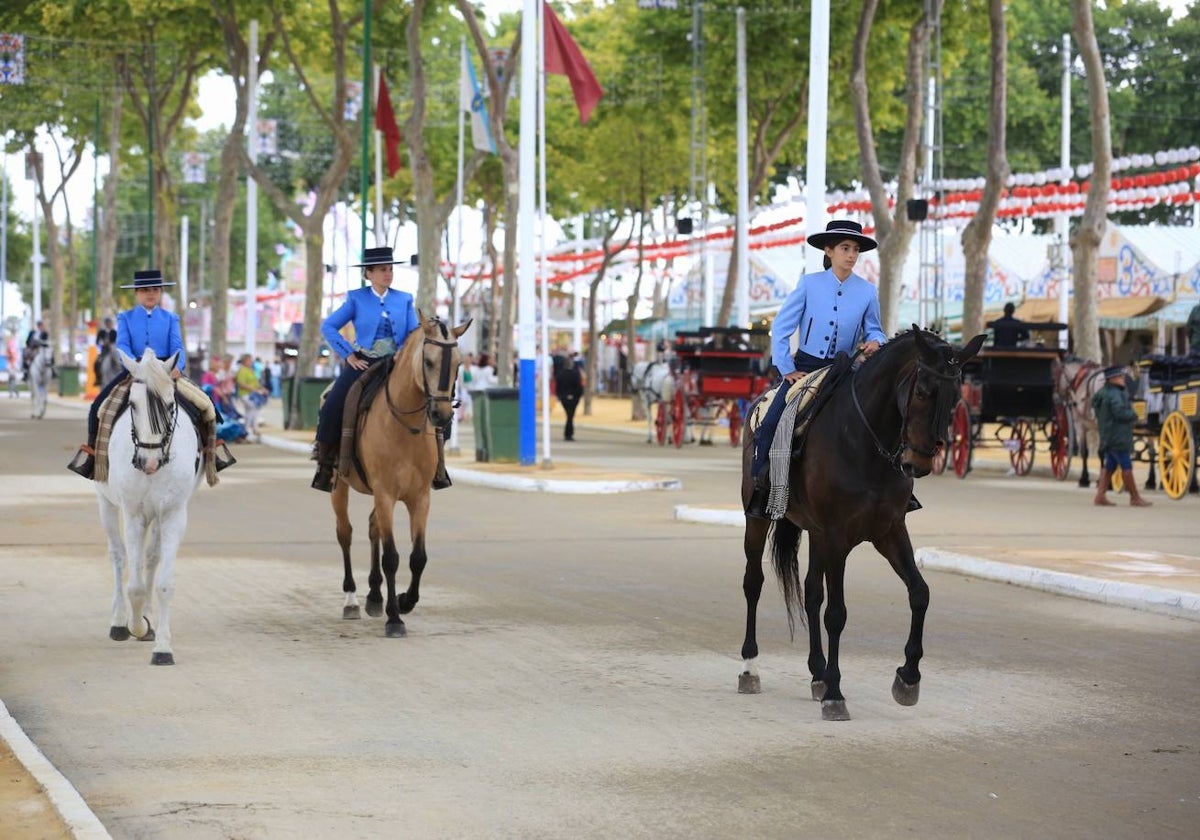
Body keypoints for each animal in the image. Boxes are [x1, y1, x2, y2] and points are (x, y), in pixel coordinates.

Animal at [96, 345, 201, 662]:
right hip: (106, 504)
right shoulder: (133, 515)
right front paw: (135, 625)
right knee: (119, 558)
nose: (149, 462)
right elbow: (135, 586)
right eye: (132, 406)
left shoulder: (173, 514)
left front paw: (162, 647)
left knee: (152, 559)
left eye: (169, 405)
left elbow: (164, 583)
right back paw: (120, 623)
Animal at [336, 314, 475, 638]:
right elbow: (392, 557)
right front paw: (395, 619)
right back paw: (352, 599)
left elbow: (418, 557)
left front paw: (404, 601)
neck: (403, 426)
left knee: (372, 527)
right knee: (345, 533)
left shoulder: (419, 497)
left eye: (458, 363)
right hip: (340, 484)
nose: (442, 415)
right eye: (428, 361)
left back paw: (375, 596)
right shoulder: (386, 493)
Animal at [739, 328, 984, 720]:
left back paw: (817, 672)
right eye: (921, 391)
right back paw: (750, 668)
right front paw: (835, 694)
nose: (919, 462)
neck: (865, 442)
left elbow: (920, 593)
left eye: (955, 396)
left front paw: (907, 678)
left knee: (811, 593)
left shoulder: (889, 531)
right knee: (753, 583)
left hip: (816, 534)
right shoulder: (837, 536)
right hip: (758, 519)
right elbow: (836, 613)